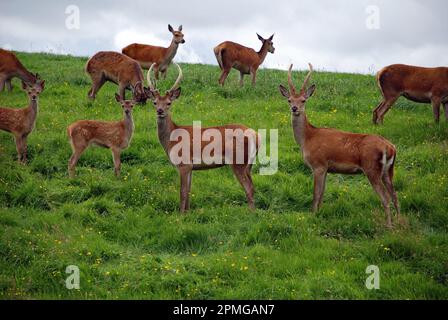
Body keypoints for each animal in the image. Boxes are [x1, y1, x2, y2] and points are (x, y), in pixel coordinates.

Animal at [145, 62, 260, 212]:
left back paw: (250, 213)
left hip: (238, 161)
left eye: (169, 103)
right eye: (154, 102)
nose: (160, 111)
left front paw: (180, 214)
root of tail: (255, 135)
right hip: (249, 164)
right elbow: (188, 191)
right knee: (252, 186)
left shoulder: (184, 163)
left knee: (249, 188)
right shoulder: (192, 167)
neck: (172, 138)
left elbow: (182, 192)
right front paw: (187, 213)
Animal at [280, 63, 400, 228]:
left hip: (372, 168)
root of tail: (390, 148)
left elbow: (316, 194)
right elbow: (322, 194)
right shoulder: (326, 168)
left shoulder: (318, 164)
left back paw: (389, 226)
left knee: (385, 197)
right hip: (388, 170)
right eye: (289, 100)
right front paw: (319, 213)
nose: (294, 108)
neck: (307, 138)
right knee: (395, 195)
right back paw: (401, 222)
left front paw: (313, 215)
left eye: (304, 100)